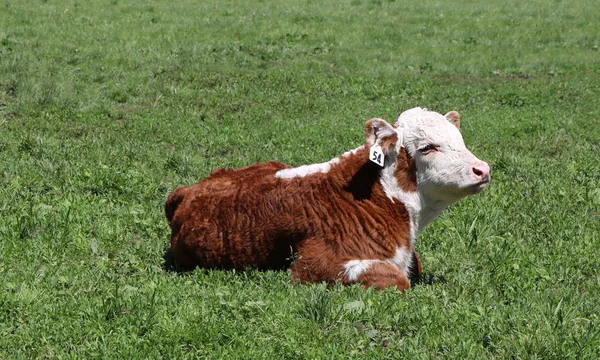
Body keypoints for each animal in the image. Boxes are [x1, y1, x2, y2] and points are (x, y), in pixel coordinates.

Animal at [165, 106, 492, 290]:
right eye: (428, 147)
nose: (483, 170)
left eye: (460, 140)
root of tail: (190, 189)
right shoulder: (313, 265)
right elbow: (398, 279)